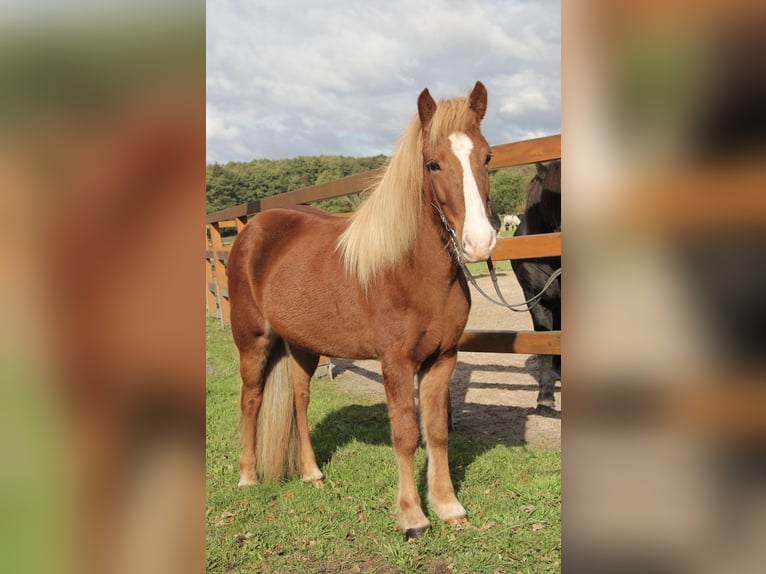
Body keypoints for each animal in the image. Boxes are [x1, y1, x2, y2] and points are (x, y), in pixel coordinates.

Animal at [226, 82, 498, 540]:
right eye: (433, 163)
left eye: (487, 157)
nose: (480, 243)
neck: (409, 271)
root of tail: (251, 230)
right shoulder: (395, 363)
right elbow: (405, 434)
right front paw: (412, 516)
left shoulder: (443, 359)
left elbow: (436, 432)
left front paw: (448, 506)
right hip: (252, 340)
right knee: (251, 399)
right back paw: (247, 477)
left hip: (302, 345)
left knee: (300, 400)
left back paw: (312, 473)